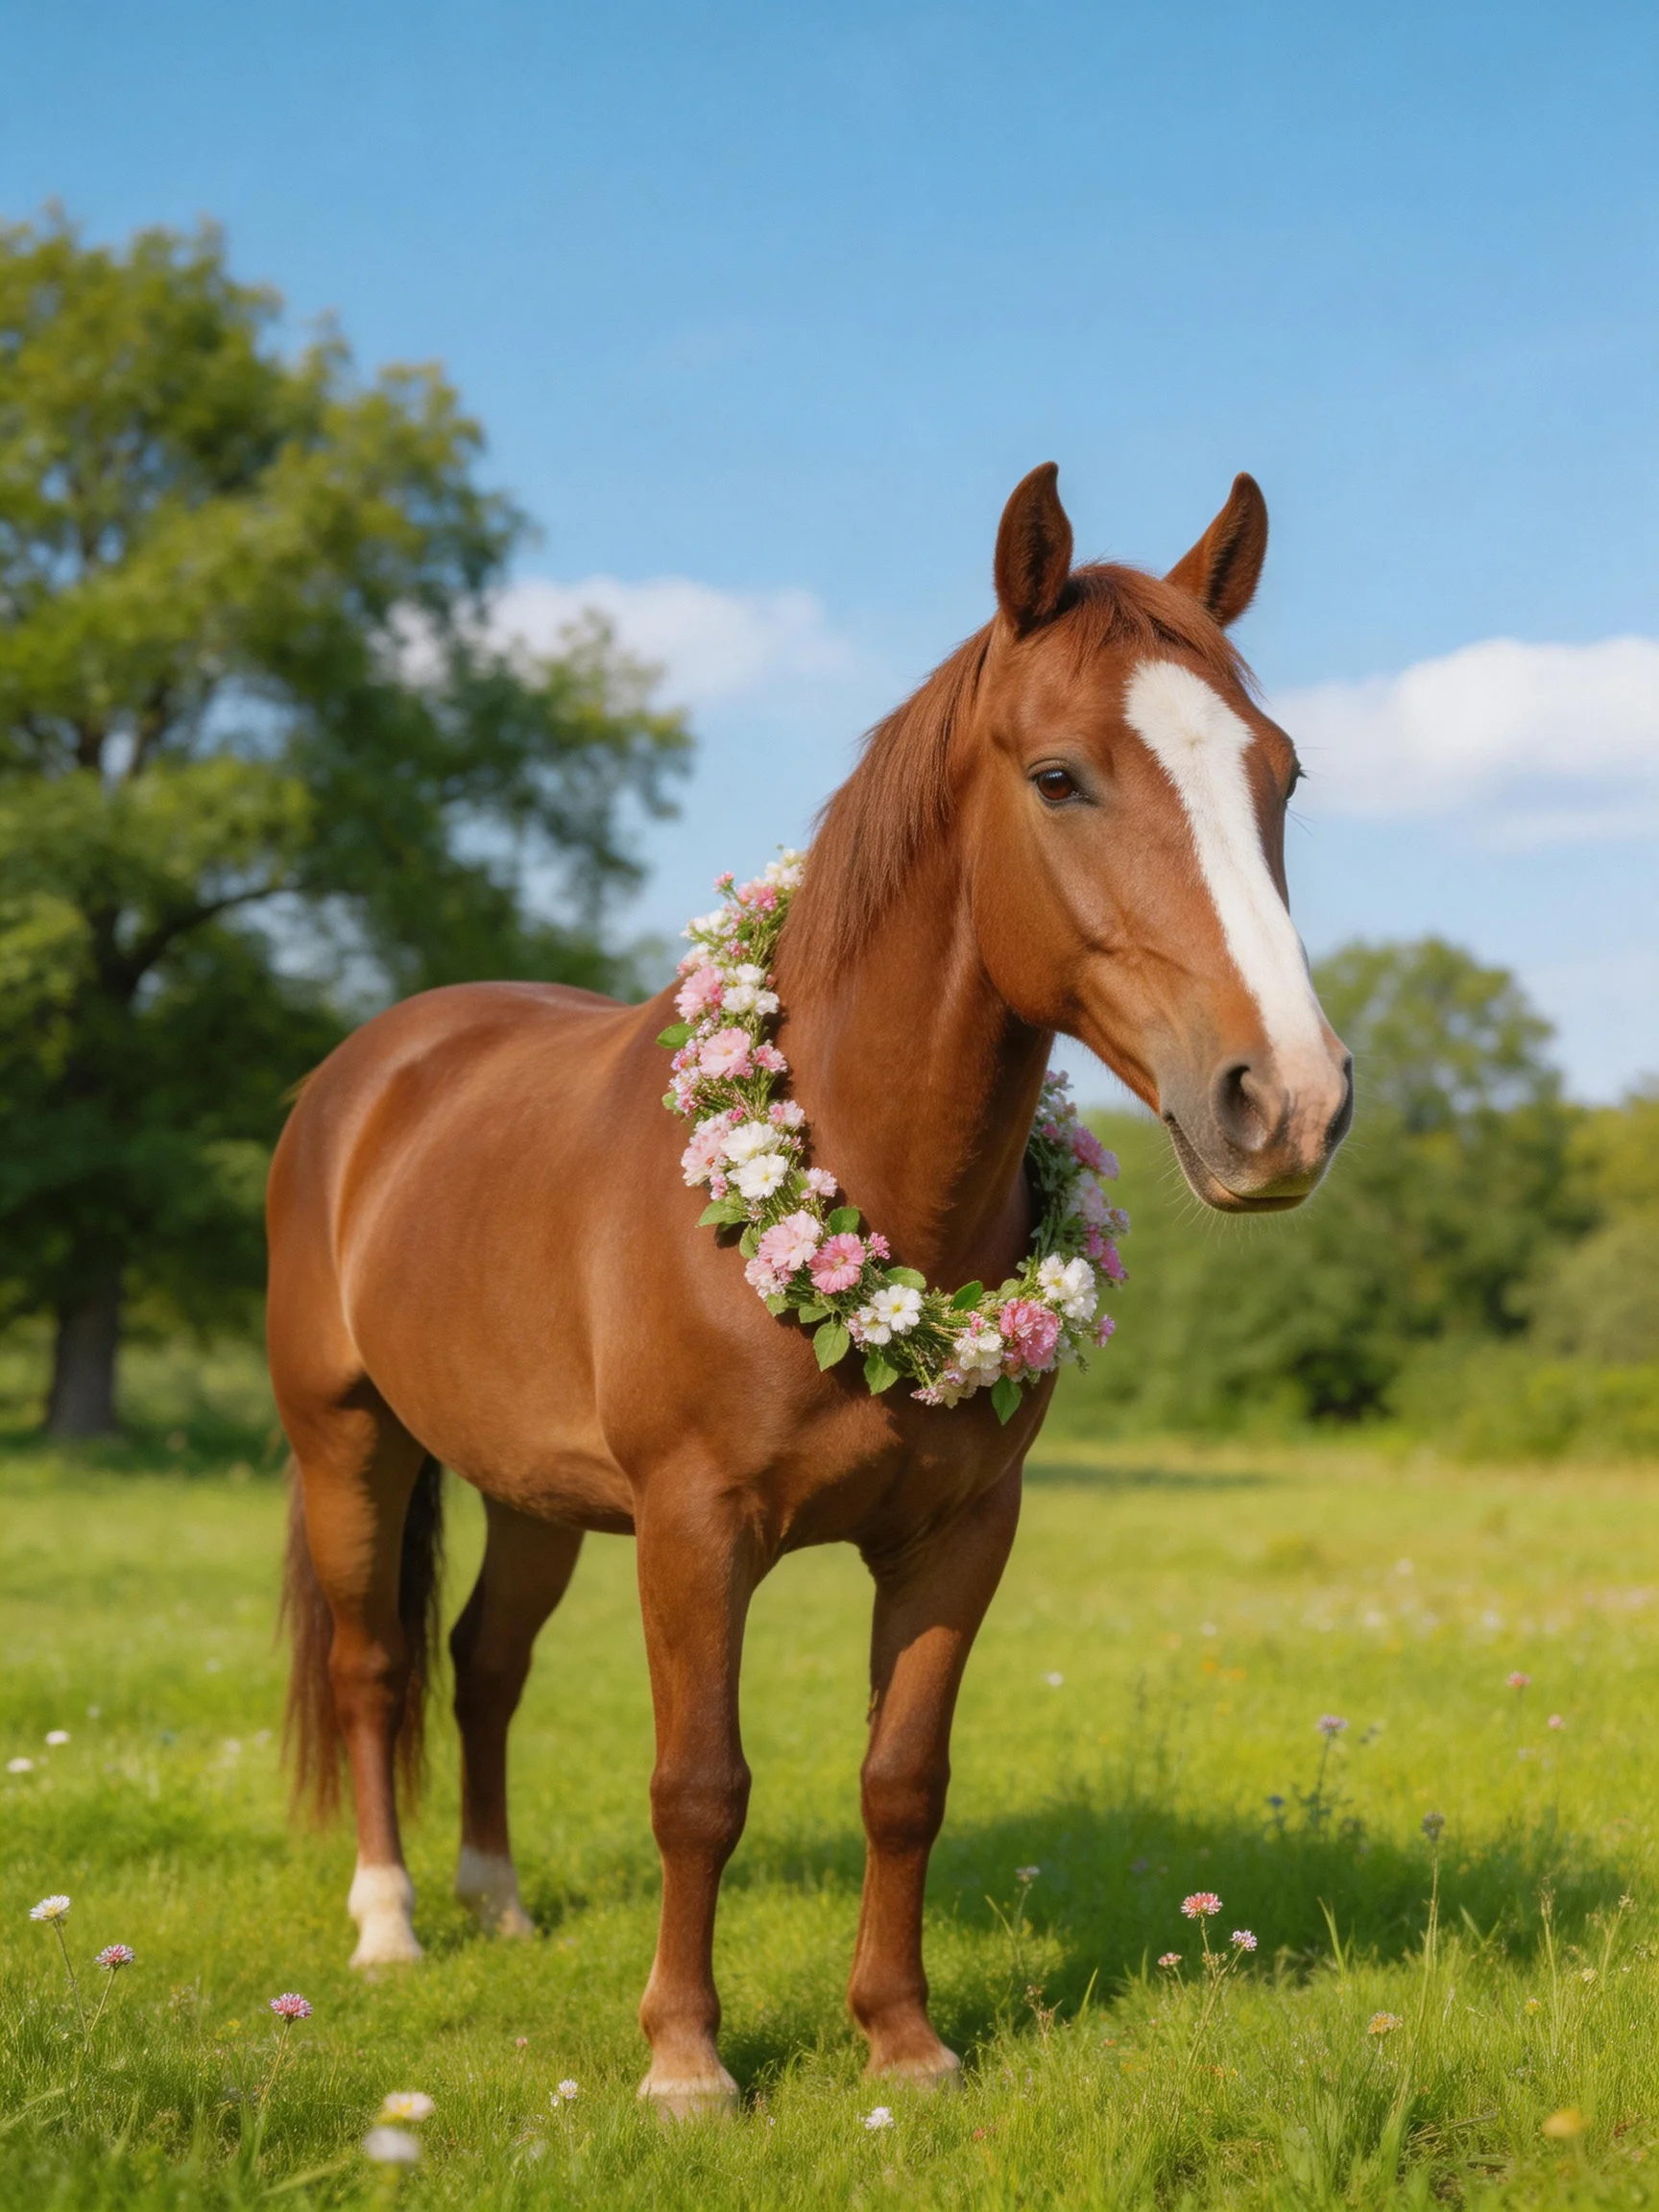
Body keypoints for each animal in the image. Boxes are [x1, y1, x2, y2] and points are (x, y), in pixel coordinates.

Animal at [269, 462, 1353, 2116]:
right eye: (1059, 779)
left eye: (1279, 777)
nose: (1286, 1103)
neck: (865, 1190)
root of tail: (370, 1070)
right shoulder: (695, 1530)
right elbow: (698, 1787)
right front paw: (686, 2062)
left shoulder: (959, 1537)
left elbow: (903, 1781)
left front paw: (903, 2040)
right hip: (350, 1443)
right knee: (379, 1666)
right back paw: (389, 1926)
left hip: (529, 1491)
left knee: (486, 1664)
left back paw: (496, 1903)